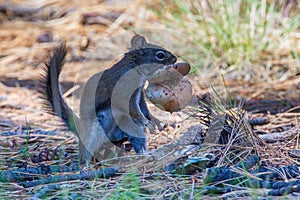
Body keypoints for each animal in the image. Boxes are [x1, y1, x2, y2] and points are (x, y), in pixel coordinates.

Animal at [39, 34, 176, 162]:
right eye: (160, 55)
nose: (175, 59)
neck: (134, 69)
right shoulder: (124, 90)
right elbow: (132, 108)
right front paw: (146, 122)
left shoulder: (139, 94)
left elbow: (143, 108)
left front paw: (155, 120)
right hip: (95, 131)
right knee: (86, 147)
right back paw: (86, 164)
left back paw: (141, 153)